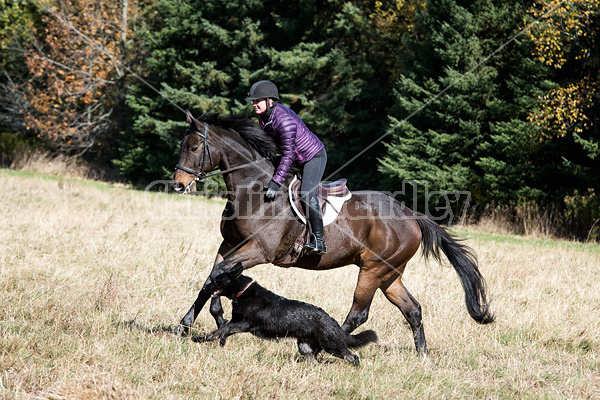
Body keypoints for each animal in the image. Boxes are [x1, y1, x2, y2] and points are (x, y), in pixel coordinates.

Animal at [171, 111, 494, 354]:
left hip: (372, 270)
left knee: (358, 314)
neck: (254, 190)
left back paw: (321, 344)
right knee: (412, 309)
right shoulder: (229, 244)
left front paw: (213, 321)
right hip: (391, 274)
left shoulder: (259, 250)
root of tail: (412, 215)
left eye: (195, 148)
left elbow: (220, 274)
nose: (178, 184)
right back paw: (422, 355)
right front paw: (191, 323)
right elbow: (213, 277)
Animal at [195, 262, 378, 366]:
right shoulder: (235, 321)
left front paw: (218, 341)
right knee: (315, 362)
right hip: (305, 347)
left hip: (332, 345)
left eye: (217, 281)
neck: (243, 292)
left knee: (353, 357)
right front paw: (201, 339)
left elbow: (224, 330)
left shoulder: (246, 323)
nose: (204, 288)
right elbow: (218, 331)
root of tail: (333, 323)